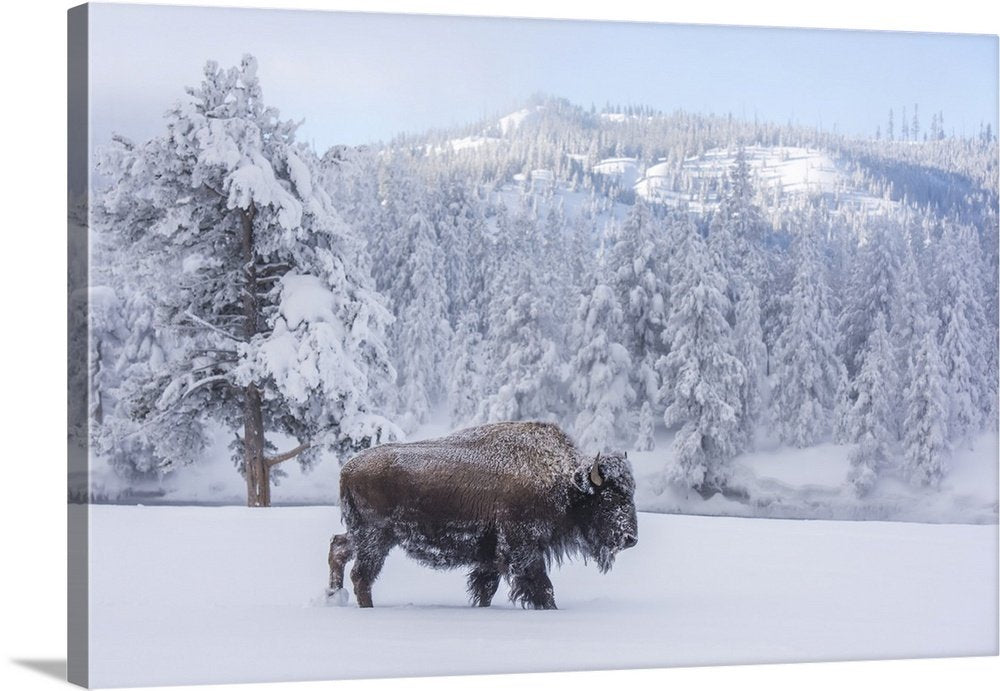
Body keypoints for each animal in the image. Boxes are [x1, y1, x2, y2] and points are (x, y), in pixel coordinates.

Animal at [326, 421, 638, 609]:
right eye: (608, 498)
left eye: (631, 494)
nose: (630, 538)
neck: (564, 481)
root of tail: (346, 469)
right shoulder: (523, 549)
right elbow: (542, 586)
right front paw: (550, 607)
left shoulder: (491, 555)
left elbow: (486, 587)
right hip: (375, 537)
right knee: (361, 574)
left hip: (361, 534)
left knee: (339, 548)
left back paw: (333, 597)